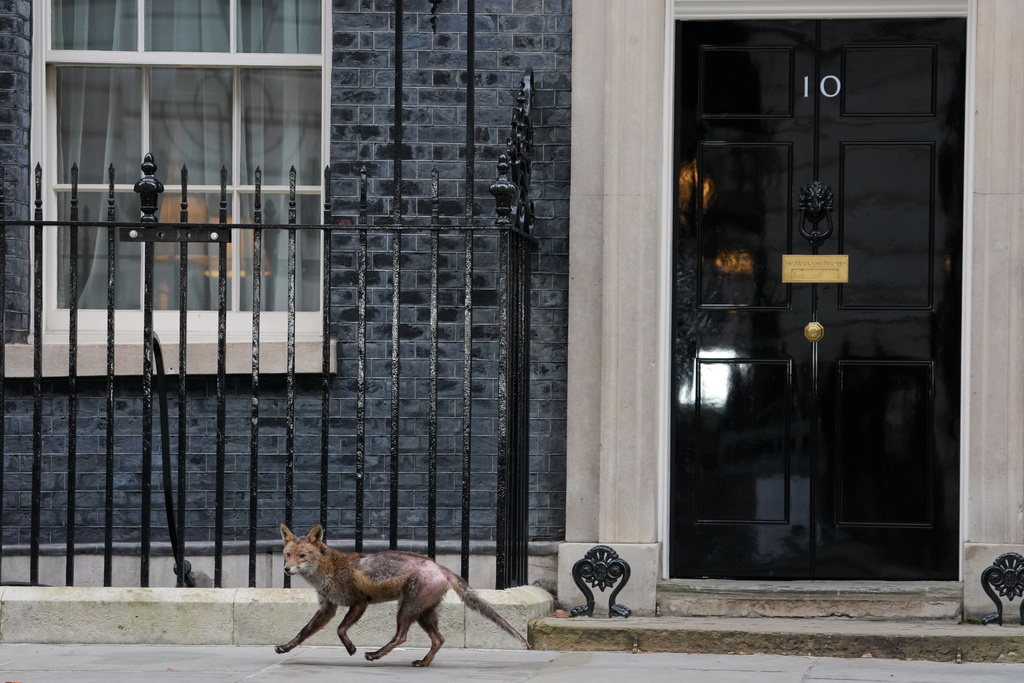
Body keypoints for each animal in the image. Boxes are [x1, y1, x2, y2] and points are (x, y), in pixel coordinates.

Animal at [275, 523, 530, 667]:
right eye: (287, 555)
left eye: (302, 556)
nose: (286, 569)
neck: (330, 571)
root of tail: (440, 567)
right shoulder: (328, 608)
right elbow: (303, 633)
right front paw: (285, 648)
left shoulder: (359, 602)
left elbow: (340, 629)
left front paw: (350, 648)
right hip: (423, 614)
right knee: (439, 639)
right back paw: (423, 663)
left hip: (406, 610)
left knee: (401, 637)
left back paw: (376, 655)